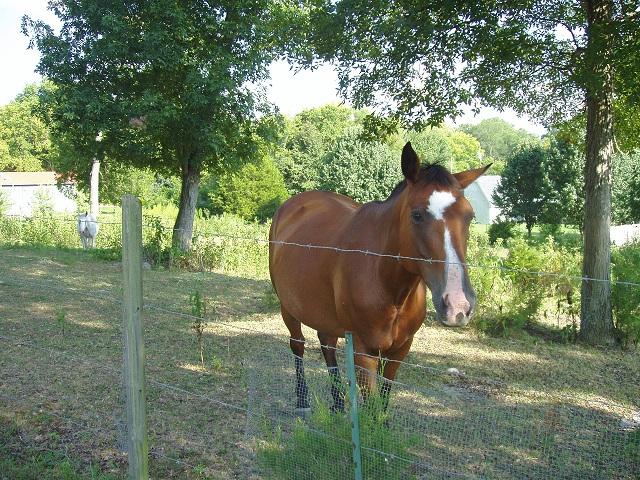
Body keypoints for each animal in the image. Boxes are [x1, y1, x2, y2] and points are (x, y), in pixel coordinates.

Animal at [268, 142, 490, 414]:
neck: (388, 283)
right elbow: (372, 412)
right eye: (417, 215)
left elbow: (382, 406)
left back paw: (338, 403)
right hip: (288, 307)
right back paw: (302, 400)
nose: (458, 305)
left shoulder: (400, 350)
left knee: (327, 343)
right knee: (297, 344)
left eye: (469, 216)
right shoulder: (364, 351)